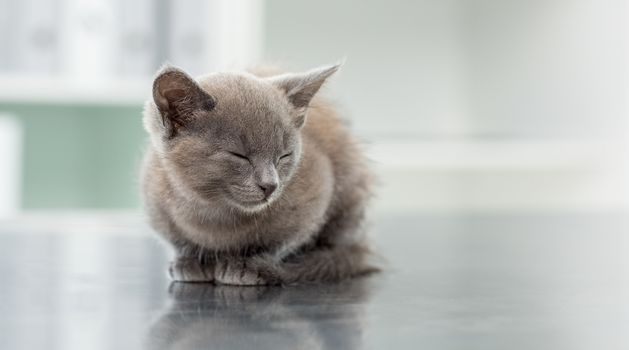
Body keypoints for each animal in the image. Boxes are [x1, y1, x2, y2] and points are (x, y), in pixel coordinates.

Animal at [142, 62, 376, 284]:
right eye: (239, 155)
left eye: (284, 155)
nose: (271, 185)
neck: (213, 213)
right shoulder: (155, 202)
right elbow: (179, 240)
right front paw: (191, 261)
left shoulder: (316, 194)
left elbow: (282, 241)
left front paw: (246, 265)